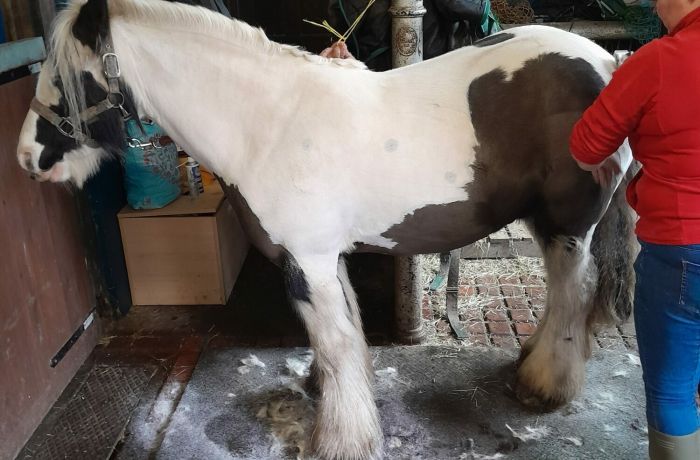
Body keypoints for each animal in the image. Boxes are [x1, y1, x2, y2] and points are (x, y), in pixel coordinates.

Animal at [16, 1, 637, 458]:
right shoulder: (323, 259)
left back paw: (544, 385)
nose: (27, 158)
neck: (266, 125)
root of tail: (608, 63)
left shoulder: (308, 263)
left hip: (568, 225)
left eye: (69, 80)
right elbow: (342, 338)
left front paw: (342, 439)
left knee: (573, 294)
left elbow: (336, 343)